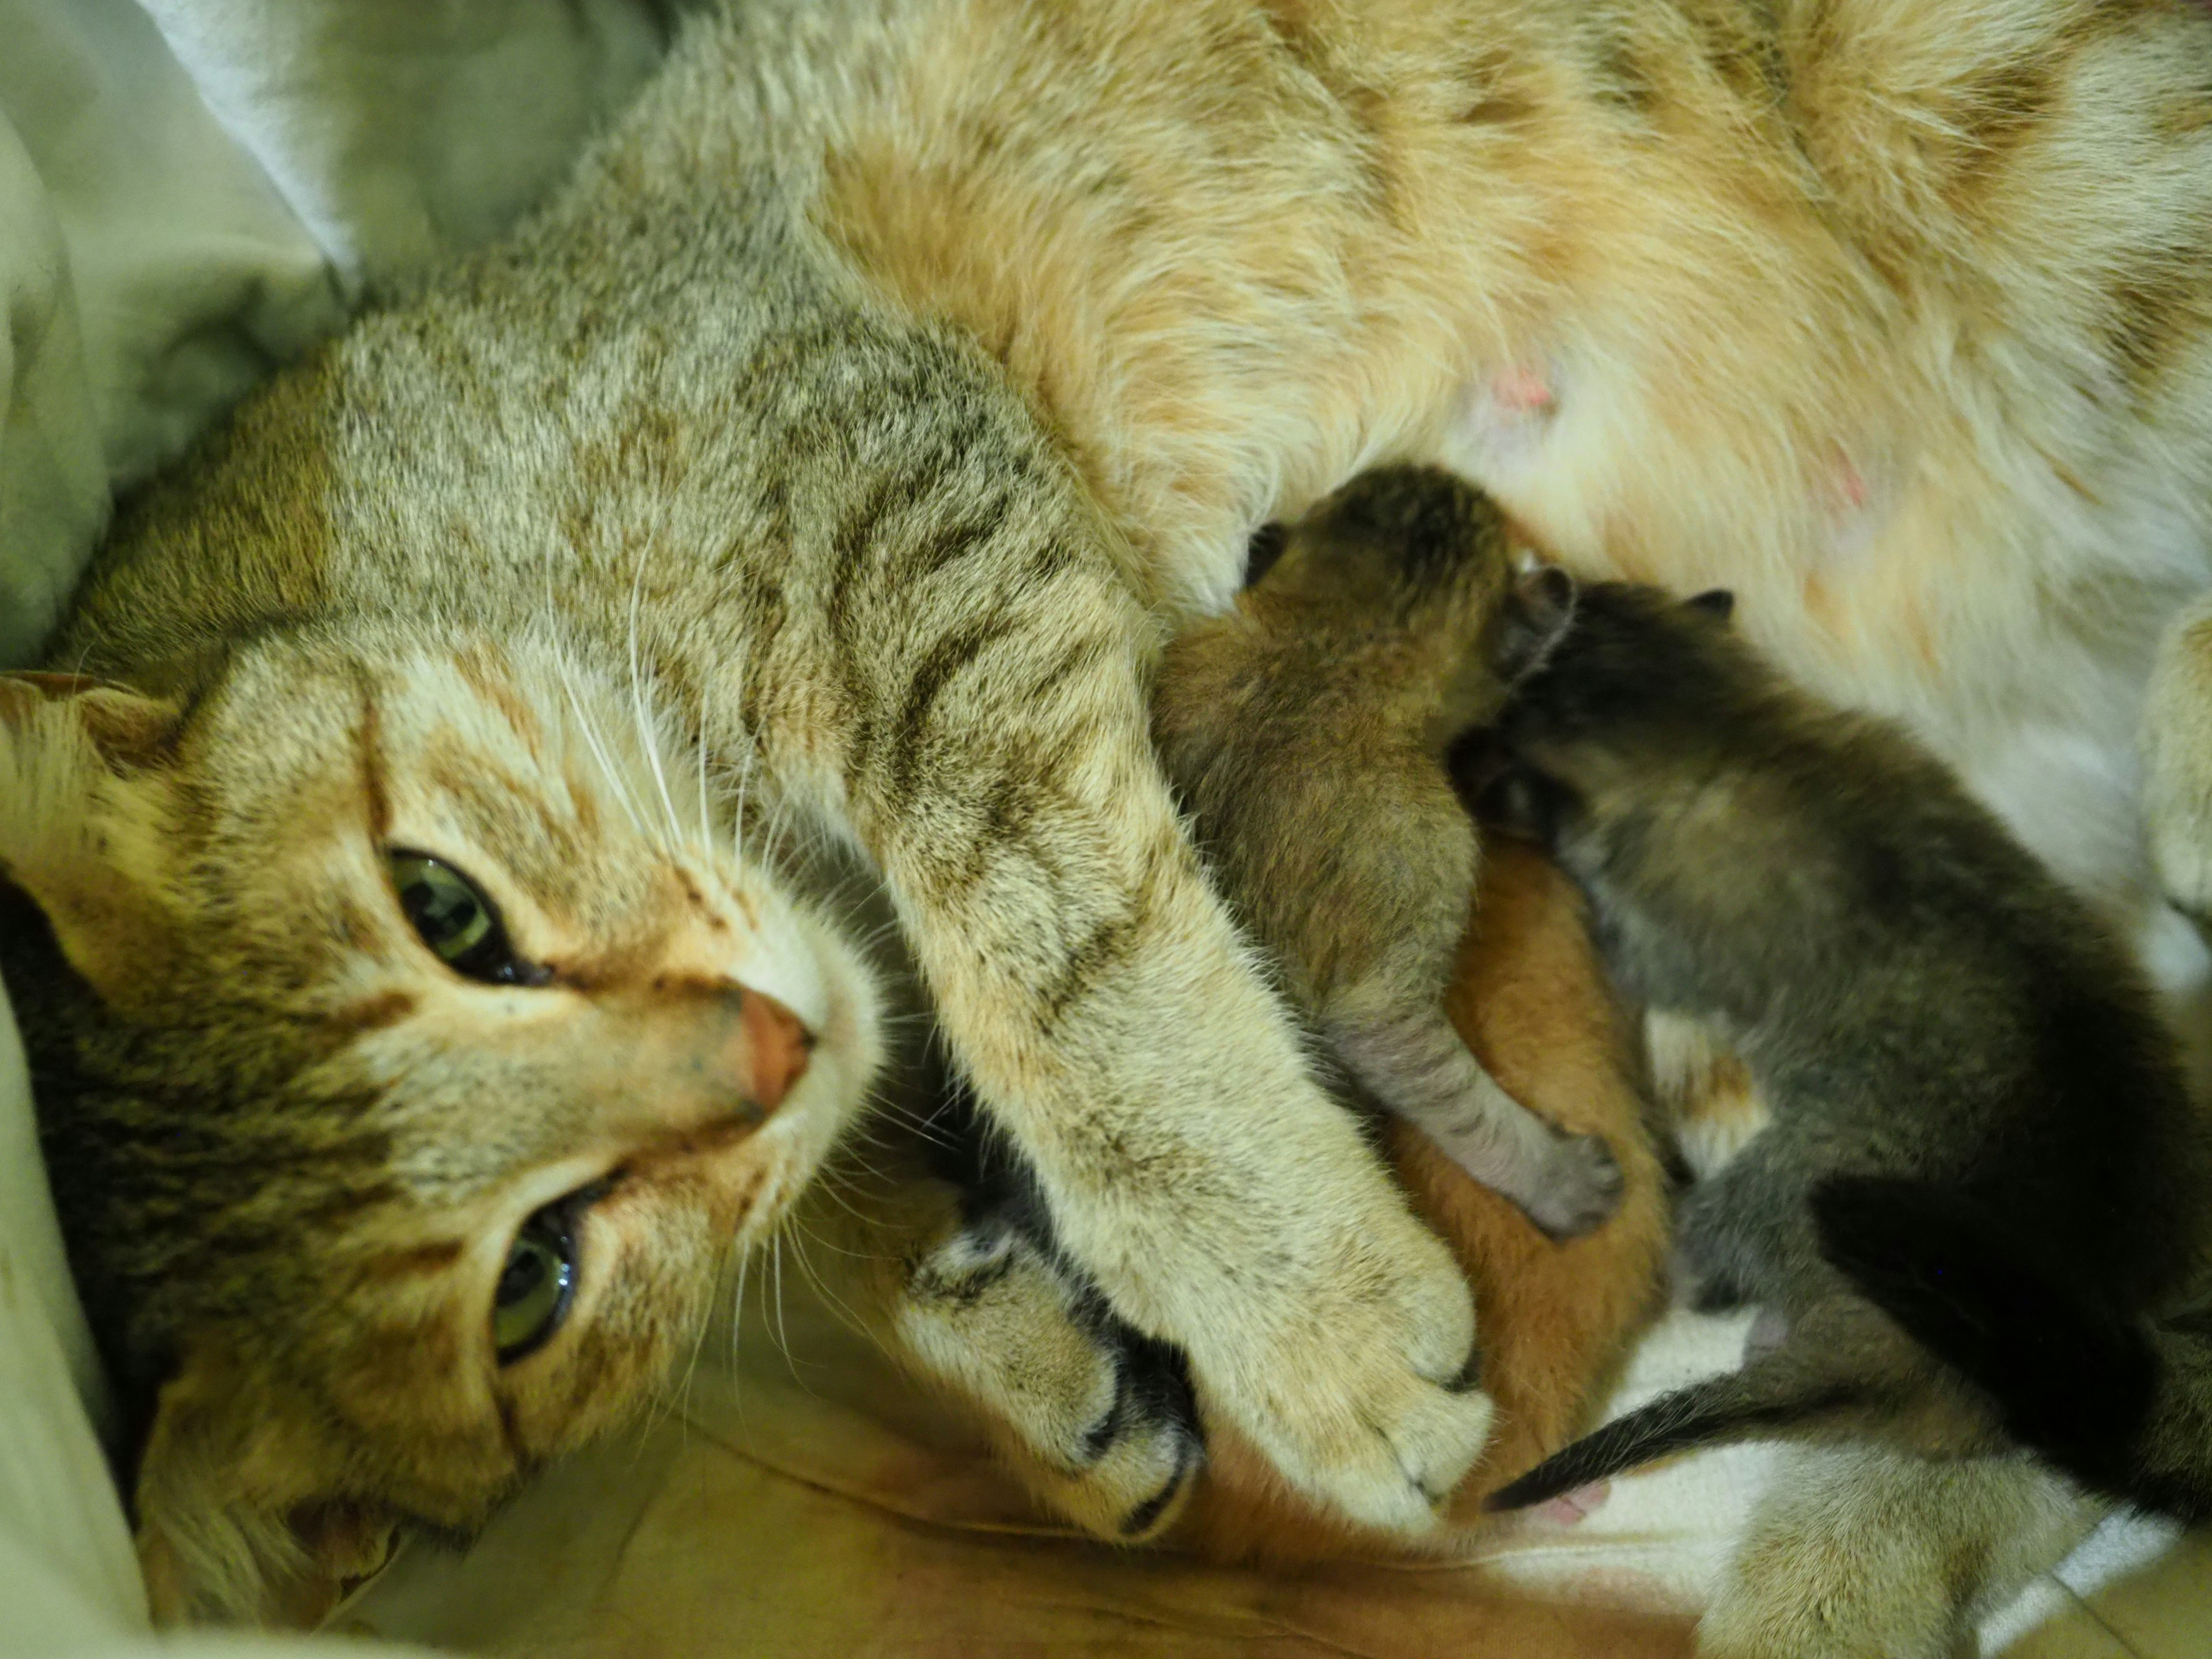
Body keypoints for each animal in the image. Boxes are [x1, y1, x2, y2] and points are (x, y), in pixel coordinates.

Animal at [1468, 579, 2212, 1521]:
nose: (1546, 580)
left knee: (1704, 1256)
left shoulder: (1659, 946)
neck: (1728, 734)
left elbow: (1621, 940)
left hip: (1768, 1182)